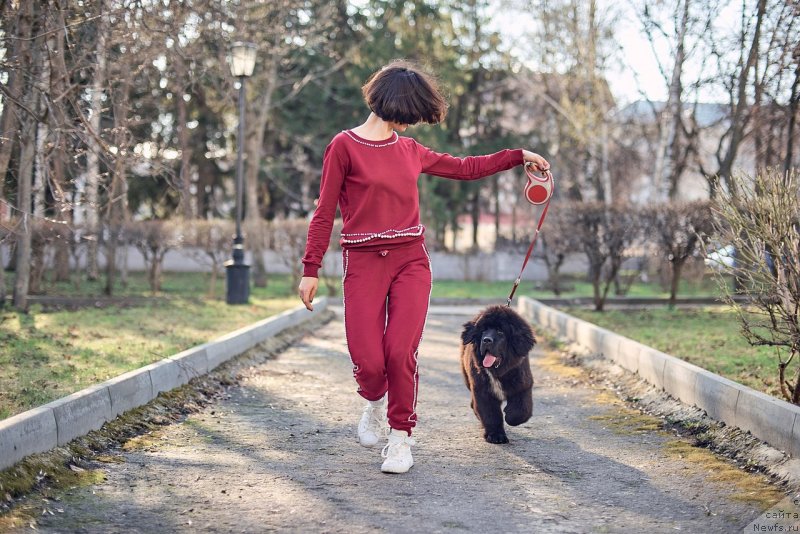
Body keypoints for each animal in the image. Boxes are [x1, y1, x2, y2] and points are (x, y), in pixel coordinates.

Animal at [460, 306, 536, 444]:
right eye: (484, 330)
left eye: (501, 331)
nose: (486, 340)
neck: (497, 372)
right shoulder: (483, 391)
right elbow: (490, 415)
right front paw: (496, 436)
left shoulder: (523, 386)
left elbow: (521, 411)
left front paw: (509, 414)